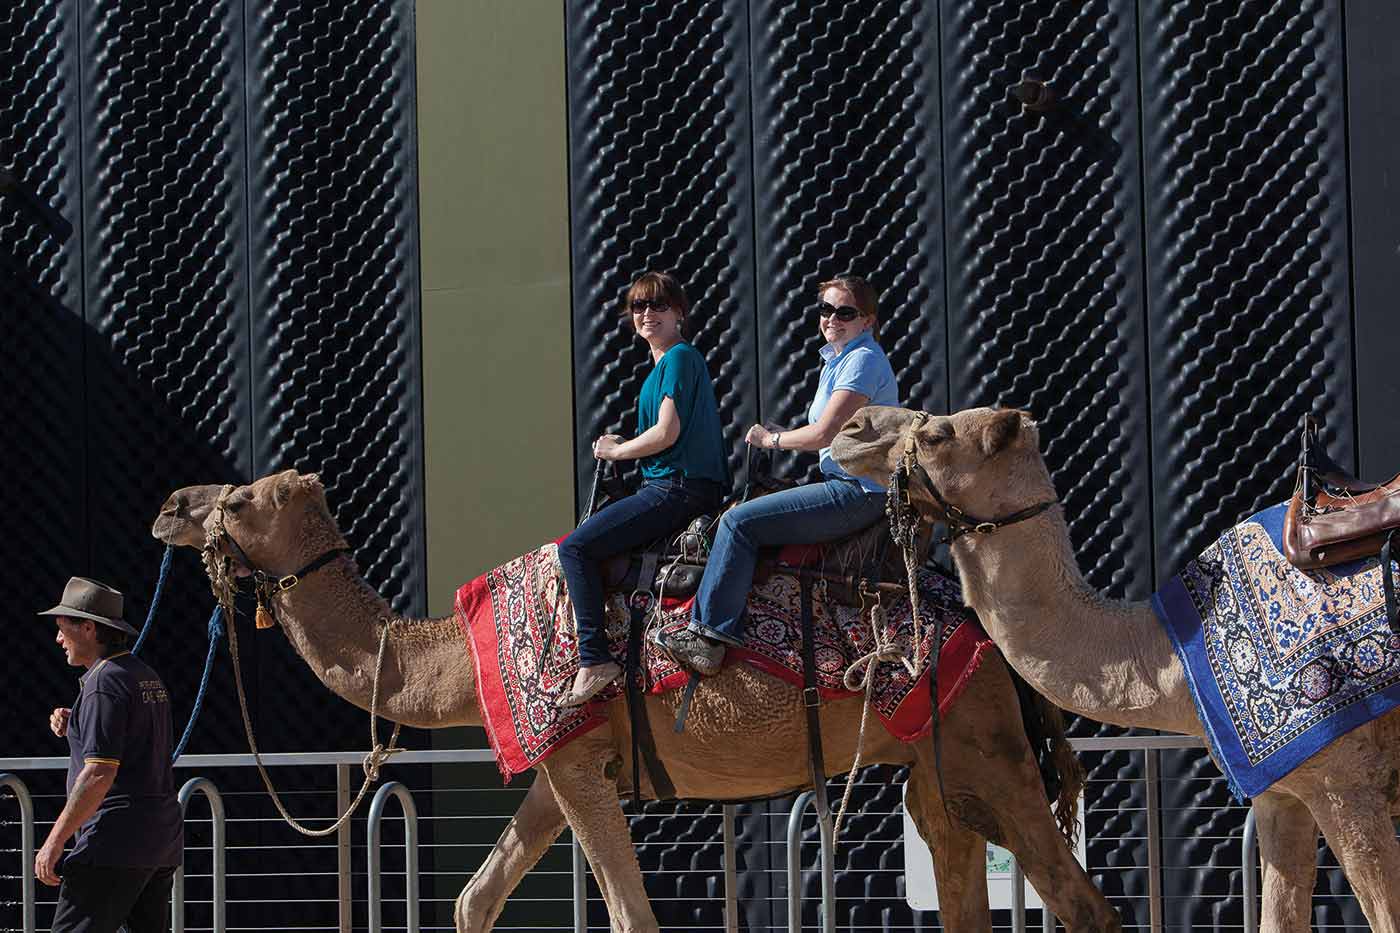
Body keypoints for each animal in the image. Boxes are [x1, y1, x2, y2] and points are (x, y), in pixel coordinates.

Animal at [150, 473, 1114, 930]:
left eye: (239, 498)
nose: (169, 503)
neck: (459, 656)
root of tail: (987, 630)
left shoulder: (574, 754)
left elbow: (629, 913)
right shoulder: (564, 756)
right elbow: (475, 899)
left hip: (987, 743)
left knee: (1079, 899)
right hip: (939, 763)